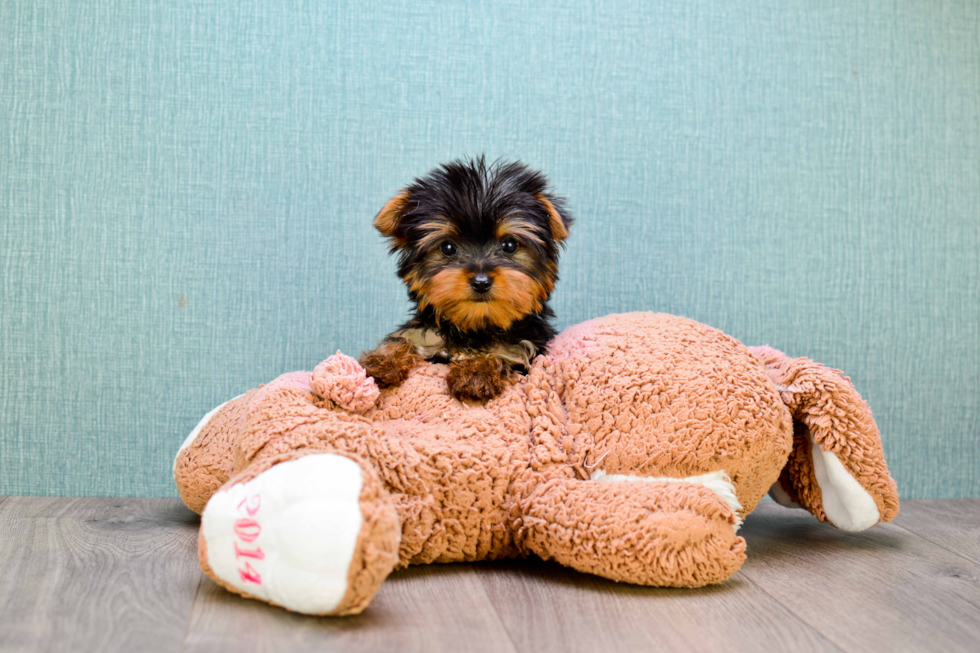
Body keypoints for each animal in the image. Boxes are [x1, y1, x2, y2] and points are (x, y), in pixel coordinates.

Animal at [360, 158, 576, 402]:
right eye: (447, 247)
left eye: (510, 245)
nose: (481, 281)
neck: (475, 327)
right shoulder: (426, 338)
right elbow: (403, 339)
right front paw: (382, 362)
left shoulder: (522, 349)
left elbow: (501, 356)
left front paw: (476, 375)